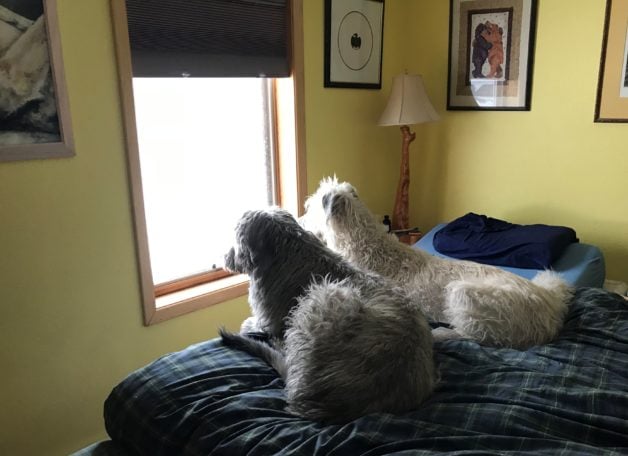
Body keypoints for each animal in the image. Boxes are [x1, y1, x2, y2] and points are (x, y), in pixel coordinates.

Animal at [218, 208, 434, 422]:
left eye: (236, 236)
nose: (224, 257)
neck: (289, 248)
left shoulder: (268, 320)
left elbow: (252, 324)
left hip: (321, 301)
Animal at [300, 176, 576, 348]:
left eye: (310, 207)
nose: (300, 221)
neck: (363, 241)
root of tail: (552, 307)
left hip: (465, 295)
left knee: (480, 337)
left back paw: (441, 333)